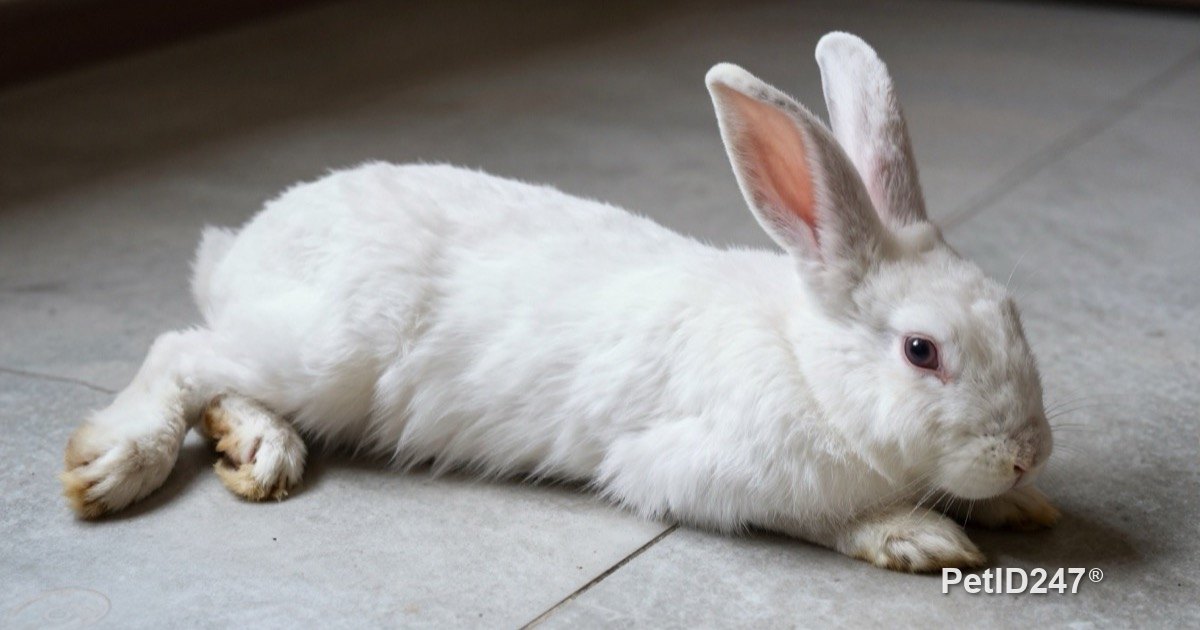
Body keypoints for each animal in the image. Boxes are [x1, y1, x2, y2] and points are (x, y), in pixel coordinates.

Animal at [60, 32, 1058, 572]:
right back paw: (117, 464)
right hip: (324, 353)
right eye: (922, 351)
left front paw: (1021, 511)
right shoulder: (698, 471)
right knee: (181, 351)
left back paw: (257, 451)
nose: (1024, 455)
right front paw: (921, 538)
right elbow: (829, 515)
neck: (810, 367)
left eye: (1015, 312)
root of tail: (241, 250)